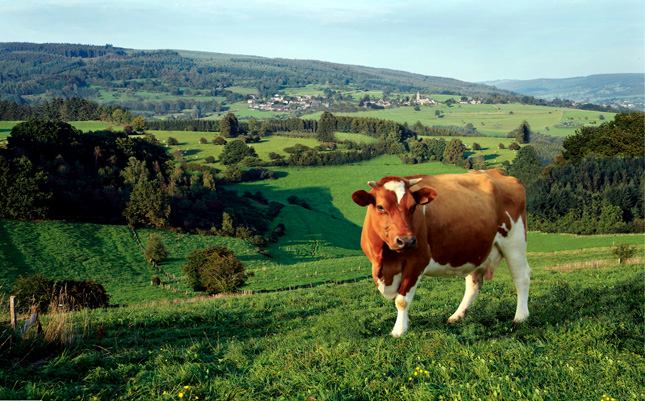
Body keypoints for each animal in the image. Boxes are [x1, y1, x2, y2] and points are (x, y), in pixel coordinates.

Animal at [352, 167, 528, 336]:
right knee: (473, 284)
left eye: (413, 207)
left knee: (521, 277)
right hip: (475, 249)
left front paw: (399, 330)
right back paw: (456, 316)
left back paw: (521, 317)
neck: (386, 261)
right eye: (380, 207)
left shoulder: (417, 261)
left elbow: (402, 300)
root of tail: (496, 172)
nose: (407, 241)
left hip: (515, 241)